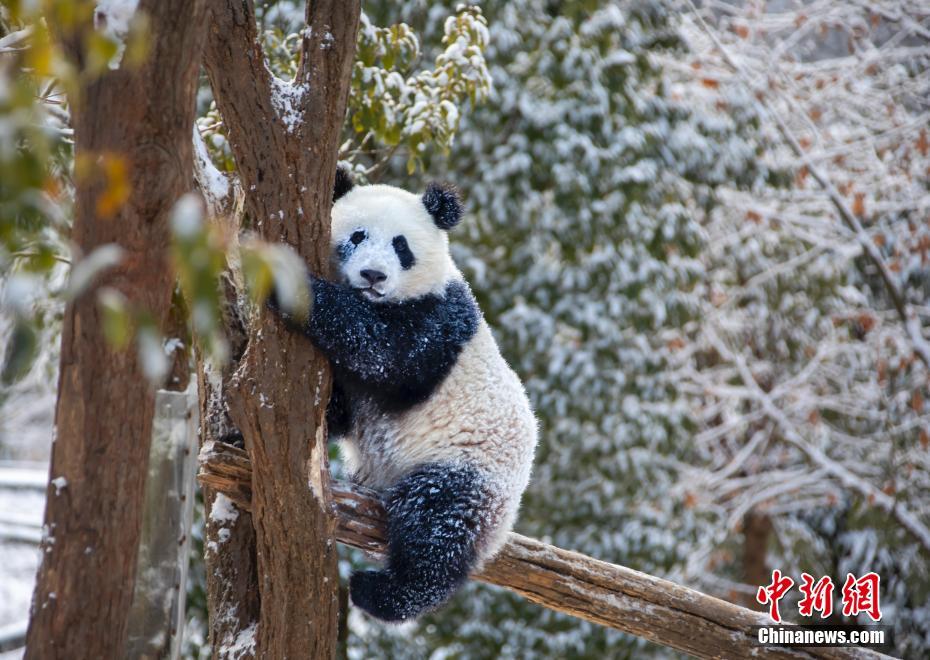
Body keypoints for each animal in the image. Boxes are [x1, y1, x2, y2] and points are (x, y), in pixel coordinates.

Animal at [266, 168, 536, 620]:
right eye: (357, 235)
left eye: (401, 245)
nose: (374, 276)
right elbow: (343, 410)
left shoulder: (436, 322)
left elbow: (380, 348)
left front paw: (282, 280)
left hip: (469, 465)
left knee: (436, 527)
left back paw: (383, 593)